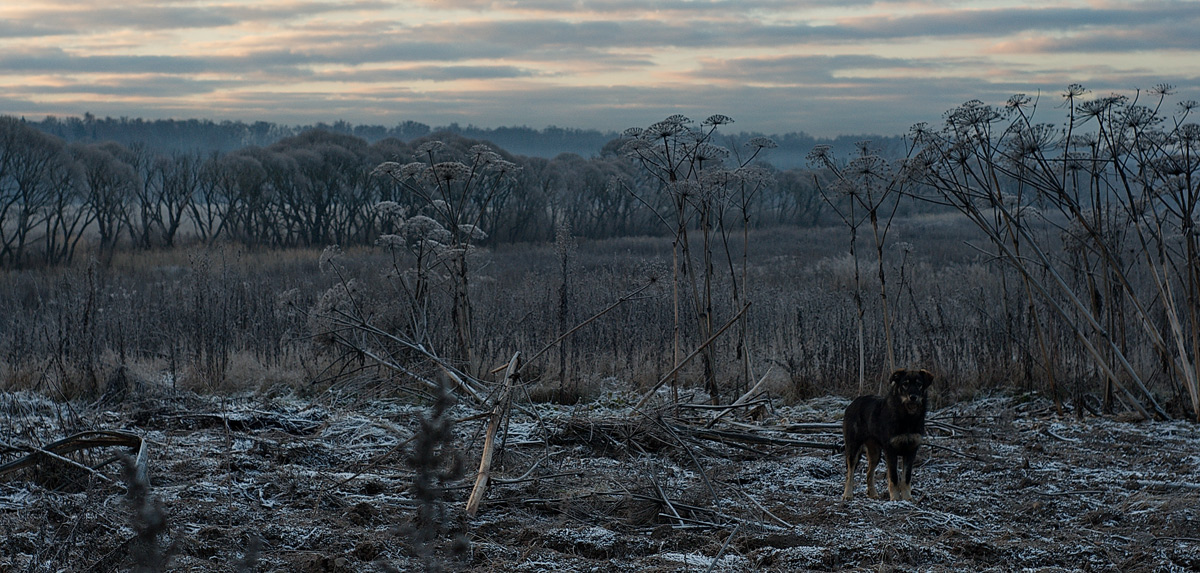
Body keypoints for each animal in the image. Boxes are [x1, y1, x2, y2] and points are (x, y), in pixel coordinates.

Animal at [840, 369, 931, 498]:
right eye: (905, 384)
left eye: (919, 384)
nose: (913, 397)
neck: (907, 417)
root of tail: (853, 403)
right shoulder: (890, 450)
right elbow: (893, 477)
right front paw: (896, 498)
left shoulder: (911, 450)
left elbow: (906, 478)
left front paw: (907, 498)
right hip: (853, 446)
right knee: (850, 472)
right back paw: (847, 494)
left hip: (875, 453)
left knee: (869, 472)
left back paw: (873, 494)